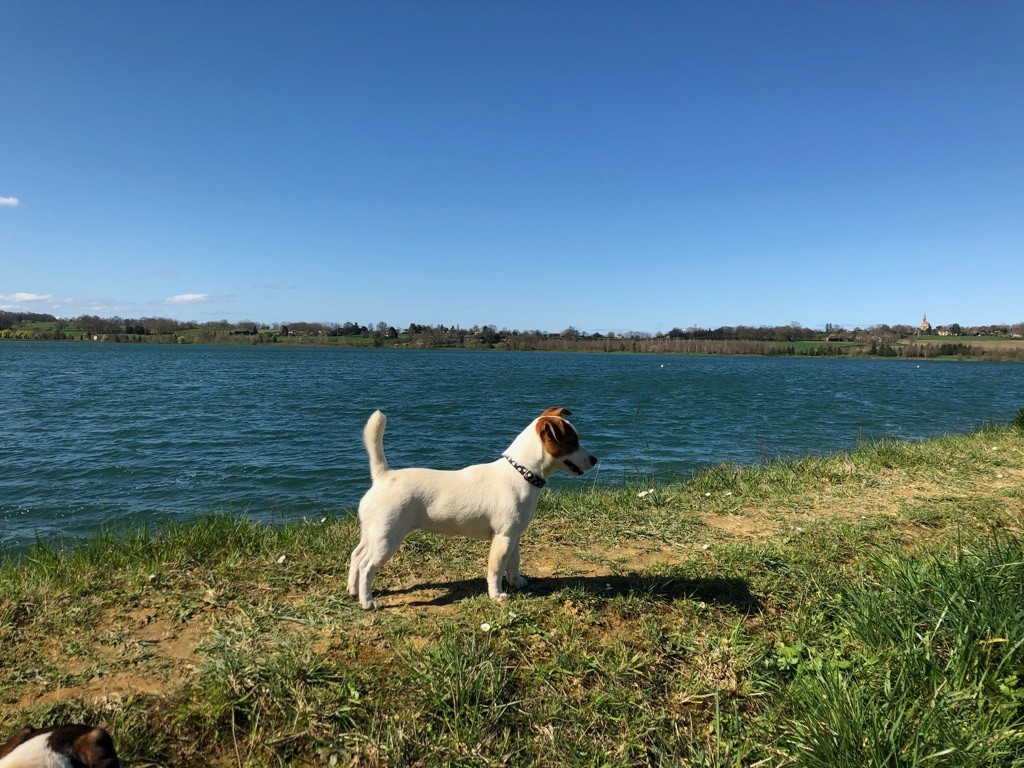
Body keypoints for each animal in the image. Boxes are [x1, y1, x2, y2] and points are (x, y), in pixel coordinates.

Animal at [348, 405, 598, 610]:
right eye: (573, 442)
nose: (595, 459)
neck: (521, 473)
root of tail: (383, 477)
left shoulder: (513, 535)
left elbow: (514, 562)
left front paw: (516, 582)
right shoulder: (503, 538)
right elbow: (496, 569)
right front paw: (497, 595)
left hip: (373, 533)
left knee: (356, 555)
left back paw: (353, 590)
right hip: (387, 538)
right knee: (367, 566)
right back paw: (367, 601)